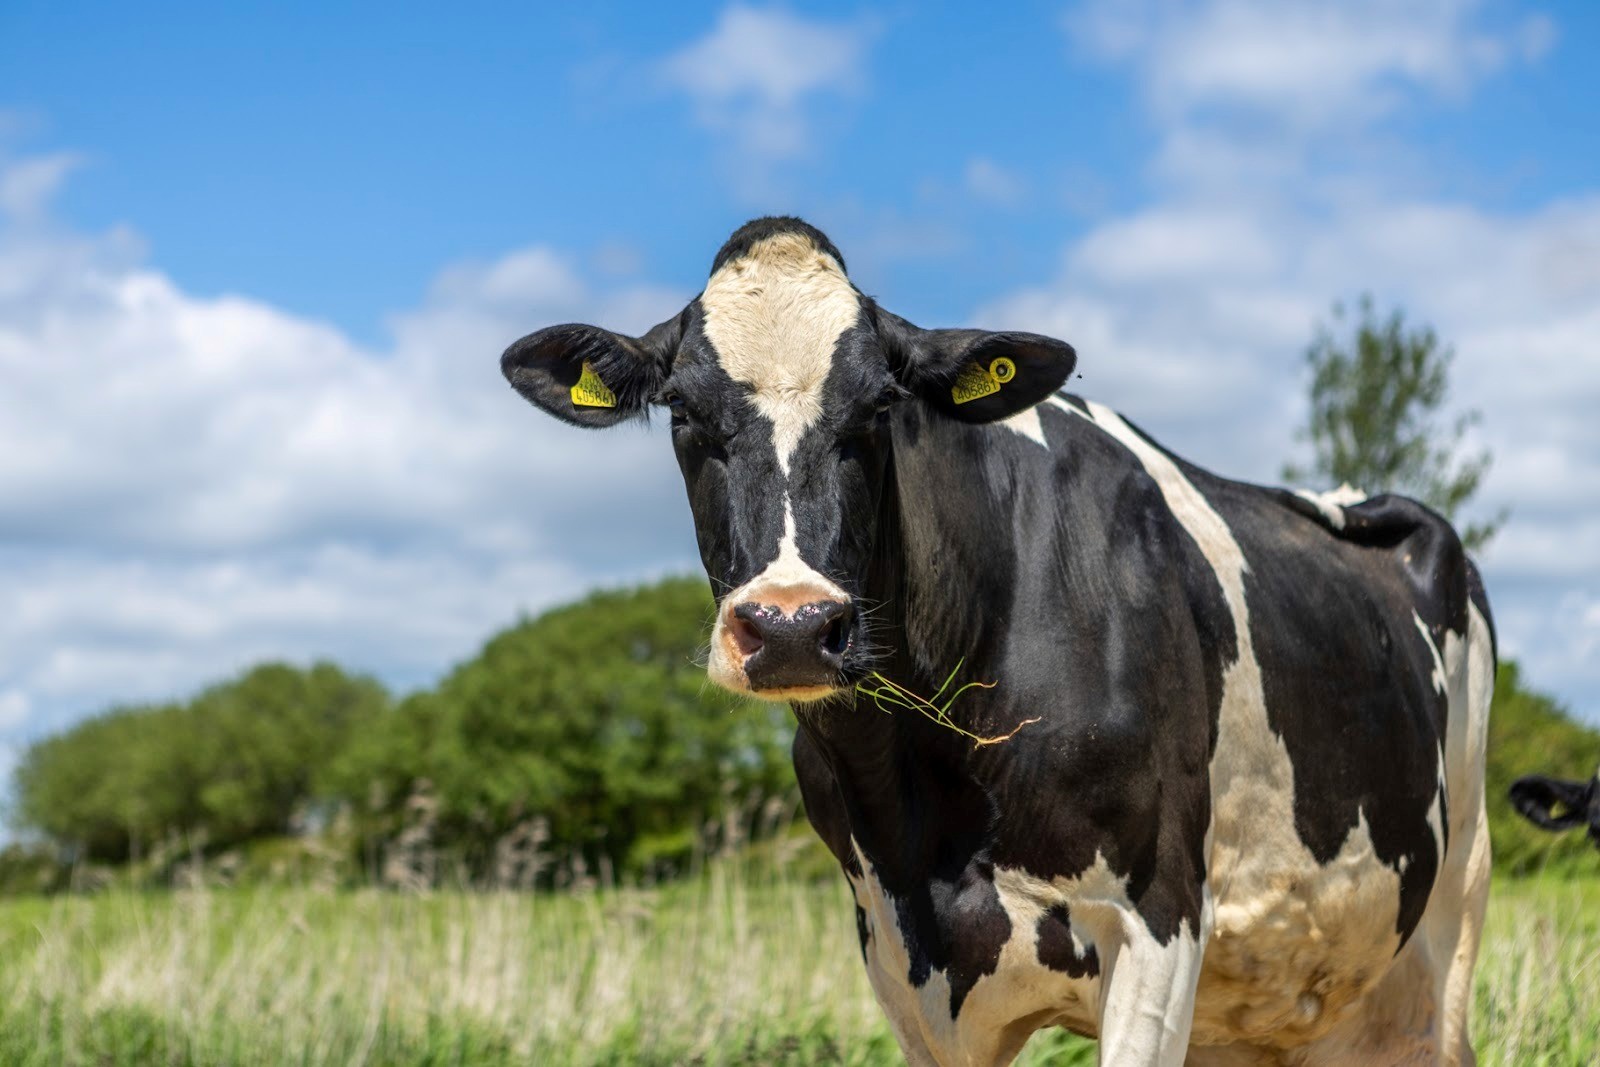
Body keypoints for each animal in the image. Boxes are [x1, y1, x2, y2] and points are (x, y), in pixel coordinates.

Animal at [500, 217, 1497, 1066]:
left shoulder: (1162, 916)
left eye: (880, 408)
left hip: (1454, 909)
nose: (791, 625)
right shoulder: (906, 958)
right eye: (682, 413)